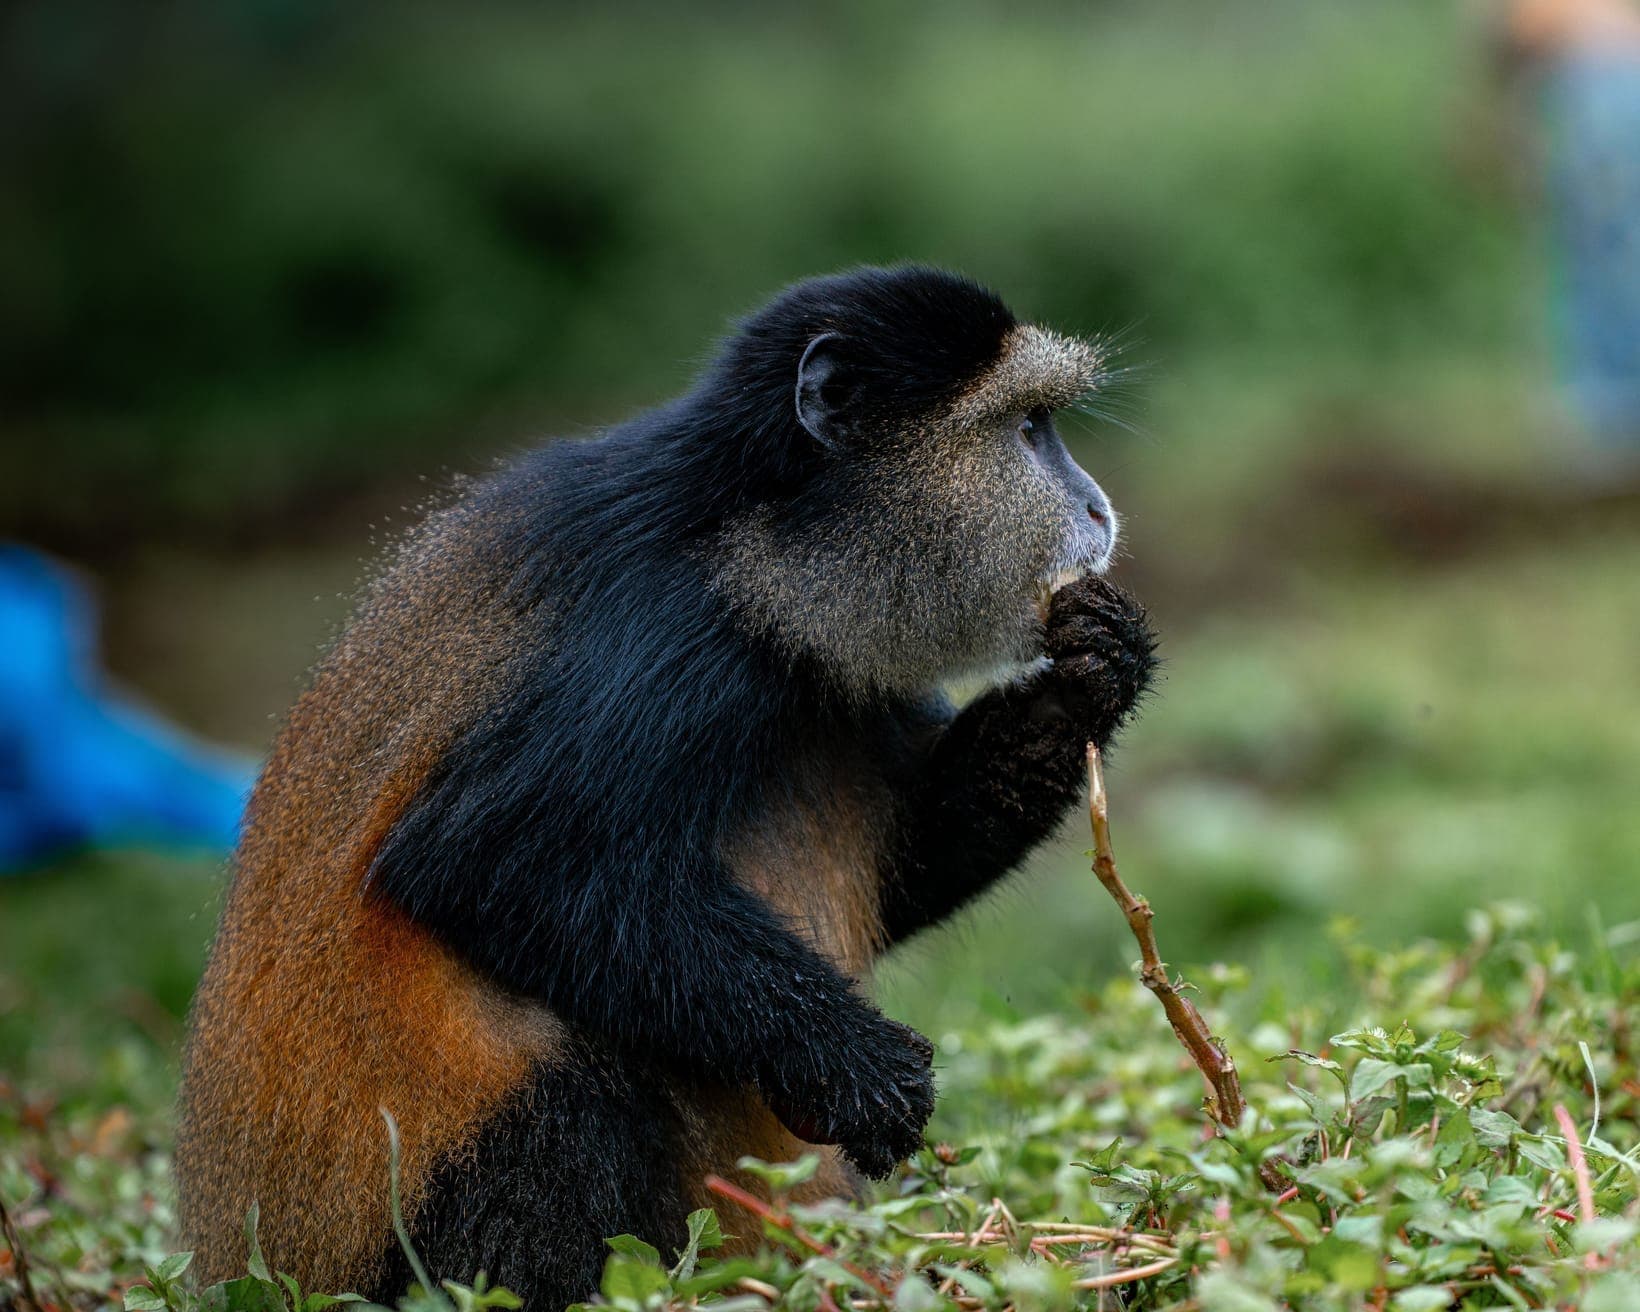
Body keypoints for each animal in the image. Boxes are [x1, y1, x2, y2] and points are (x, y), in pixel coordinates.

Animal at [174, 265, 1157, 1310]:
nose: (1098, 510)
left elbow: (912, 862)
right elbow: (491, 862)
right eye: (1027, 428)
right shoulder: (668, 629)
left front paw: (1094, 673)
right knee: (569, 1088)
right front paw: (853, 1064)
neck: (752, 535)